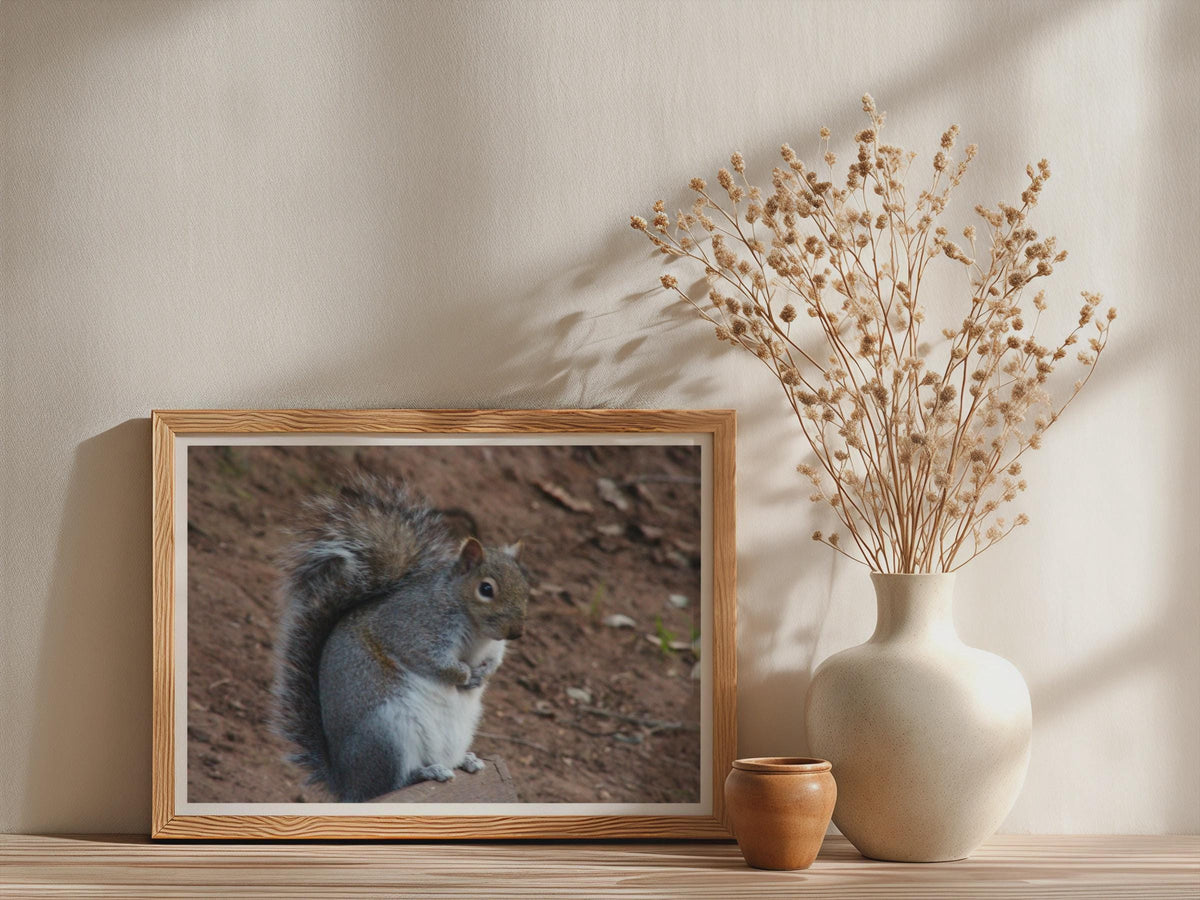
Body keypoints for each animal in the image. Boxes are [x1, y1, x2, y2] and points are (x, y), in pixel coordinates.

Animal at [272, 475, 530, 802]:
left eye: (525, 584)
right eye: (486, 589)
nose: (516, 632)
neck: (477, 631)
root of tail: (348, 785)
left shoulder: (494, 647)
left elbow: (494, 661)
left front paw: (482, 675)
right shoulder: (411, 628)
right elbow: (431, 661)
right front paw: (464, 674)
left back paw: (464, 760)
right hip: (387, 733)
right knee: (393, 784)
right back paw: (427, 772)